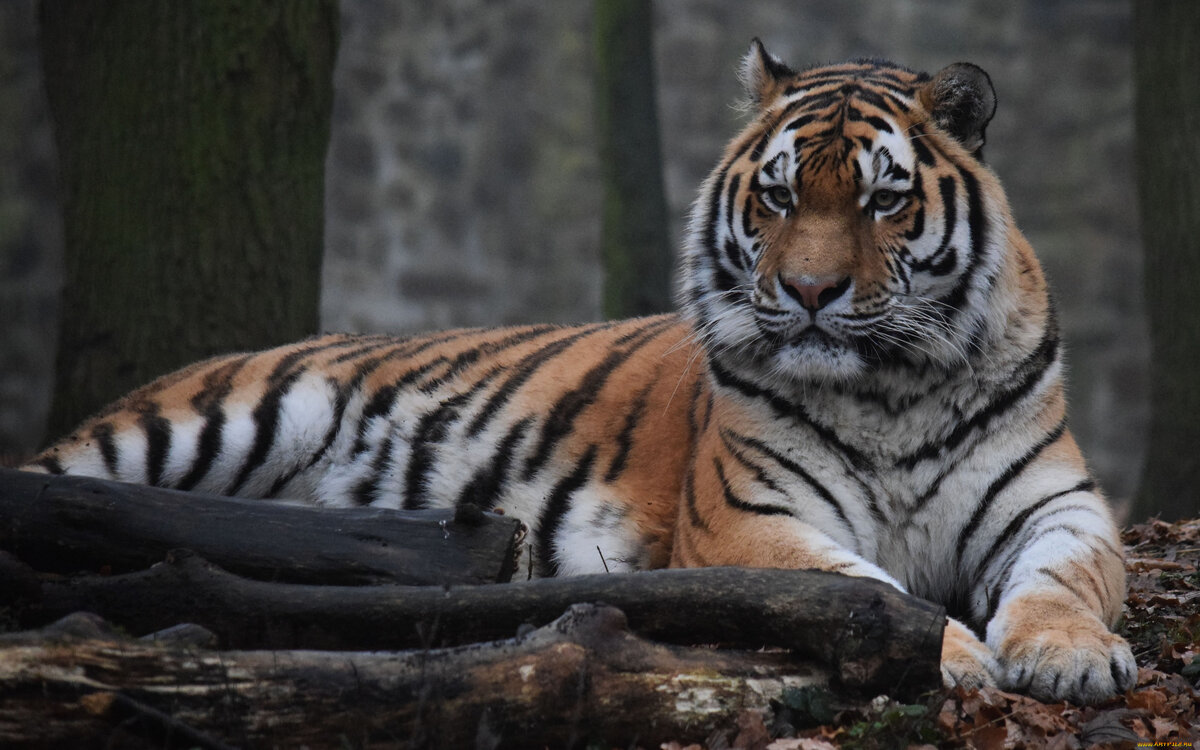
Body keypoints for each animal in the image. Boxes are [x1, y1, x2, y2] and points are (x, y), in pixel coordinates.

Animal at [25, 43, 1132, 705]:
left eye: (883, 200)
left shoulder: (1059, 505)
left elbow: (1063, 579)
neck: (891, 389)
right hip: (216, 422)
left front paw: (1072, 655)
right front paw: (954, 653)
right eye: (778, 198)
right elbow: (870, 591)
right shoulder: (749, 521)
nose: (811, 292)